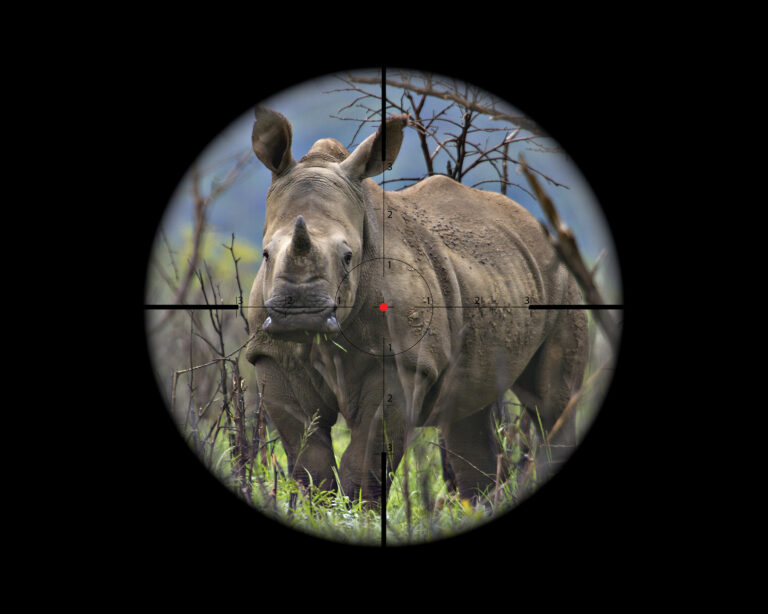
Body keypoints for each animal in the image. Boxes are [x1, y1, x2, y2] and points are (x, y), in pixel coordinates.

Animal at [245, 106, 588, 506]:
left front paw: (359, 512)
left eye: (348, 257)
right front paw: (320, 508)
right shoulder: (271, 353)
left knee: (551, 403)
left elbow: (366, 457)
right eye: (266, 254)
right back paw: (477, 504)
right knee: (466, 414)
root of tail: (534, 223)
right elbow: (308, 457)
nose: (301, 313)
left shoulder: (401, 359)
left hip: (561, 276)